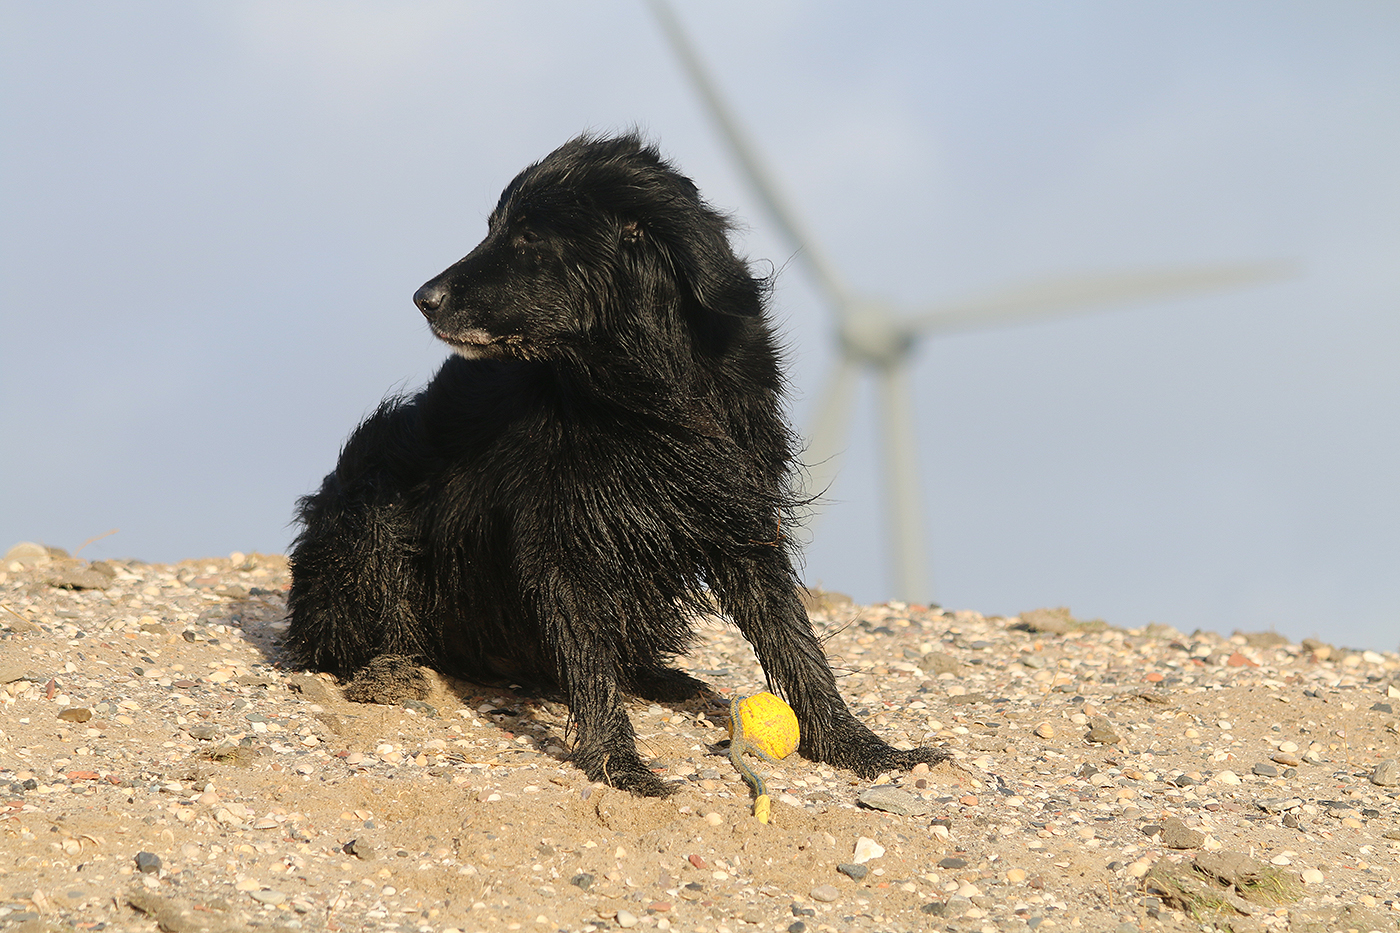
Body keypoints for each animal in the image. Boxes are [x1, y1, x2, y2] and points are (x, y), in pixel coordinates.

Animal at [285, 133, 947, 796]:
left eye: (527, 236)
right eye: (495, 229)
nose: (423, 299)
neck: (642, 390)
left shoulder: (739, 515)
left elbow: (795, 641)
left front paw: (863, 750)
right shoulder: (560, 537)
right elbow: (588, 657)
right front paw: (619, 764)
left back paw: (666, 679)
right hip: (369, 508)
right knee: (342, 637)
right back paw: (387, 671)